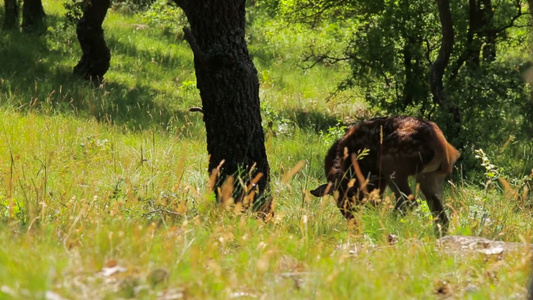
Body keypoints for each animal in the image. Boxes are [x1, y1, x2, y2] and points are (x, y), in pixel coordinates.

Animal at [310, 115, 460, 232]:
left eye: (353, 199)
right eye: (338, 200)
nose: (352, 220)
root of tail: (442, 146)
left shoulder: (376, 176)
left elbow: (374, 203)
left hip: (392, 165)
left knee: (408, 201)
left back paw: (388, 223)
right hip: (431, 176)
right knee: (439, 214)